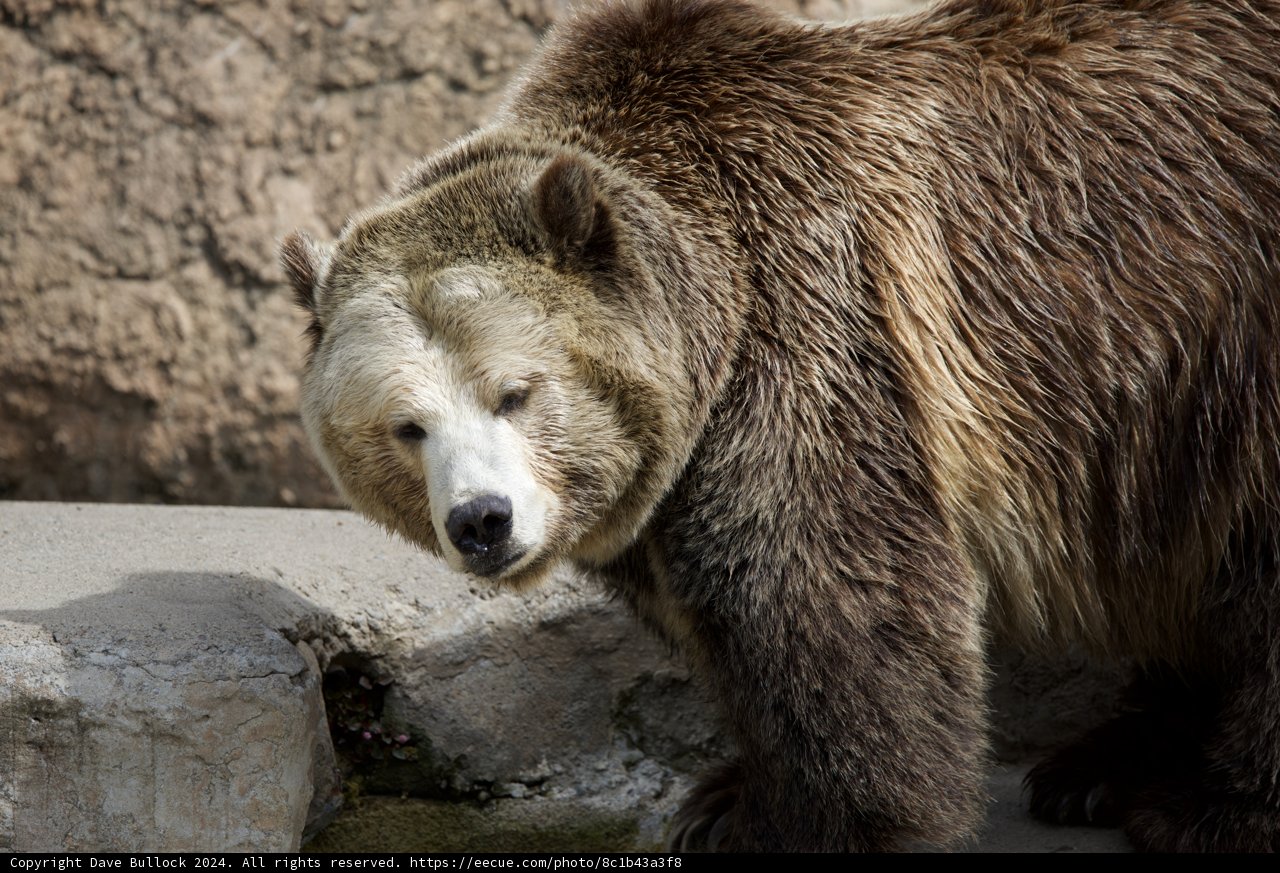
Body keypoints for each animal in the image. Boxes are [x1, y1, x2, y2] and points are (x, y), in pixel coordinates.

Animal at [280, 0, 1280, 852]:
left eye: (514, 392)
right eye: (406, 426)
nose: (482, 520)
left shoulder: (813, 325)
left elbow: (824, 600)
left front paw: (815, 821)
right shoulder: (666, 475)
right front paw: (725, 796)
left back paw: (1195, 805)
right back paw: (1102, 763)